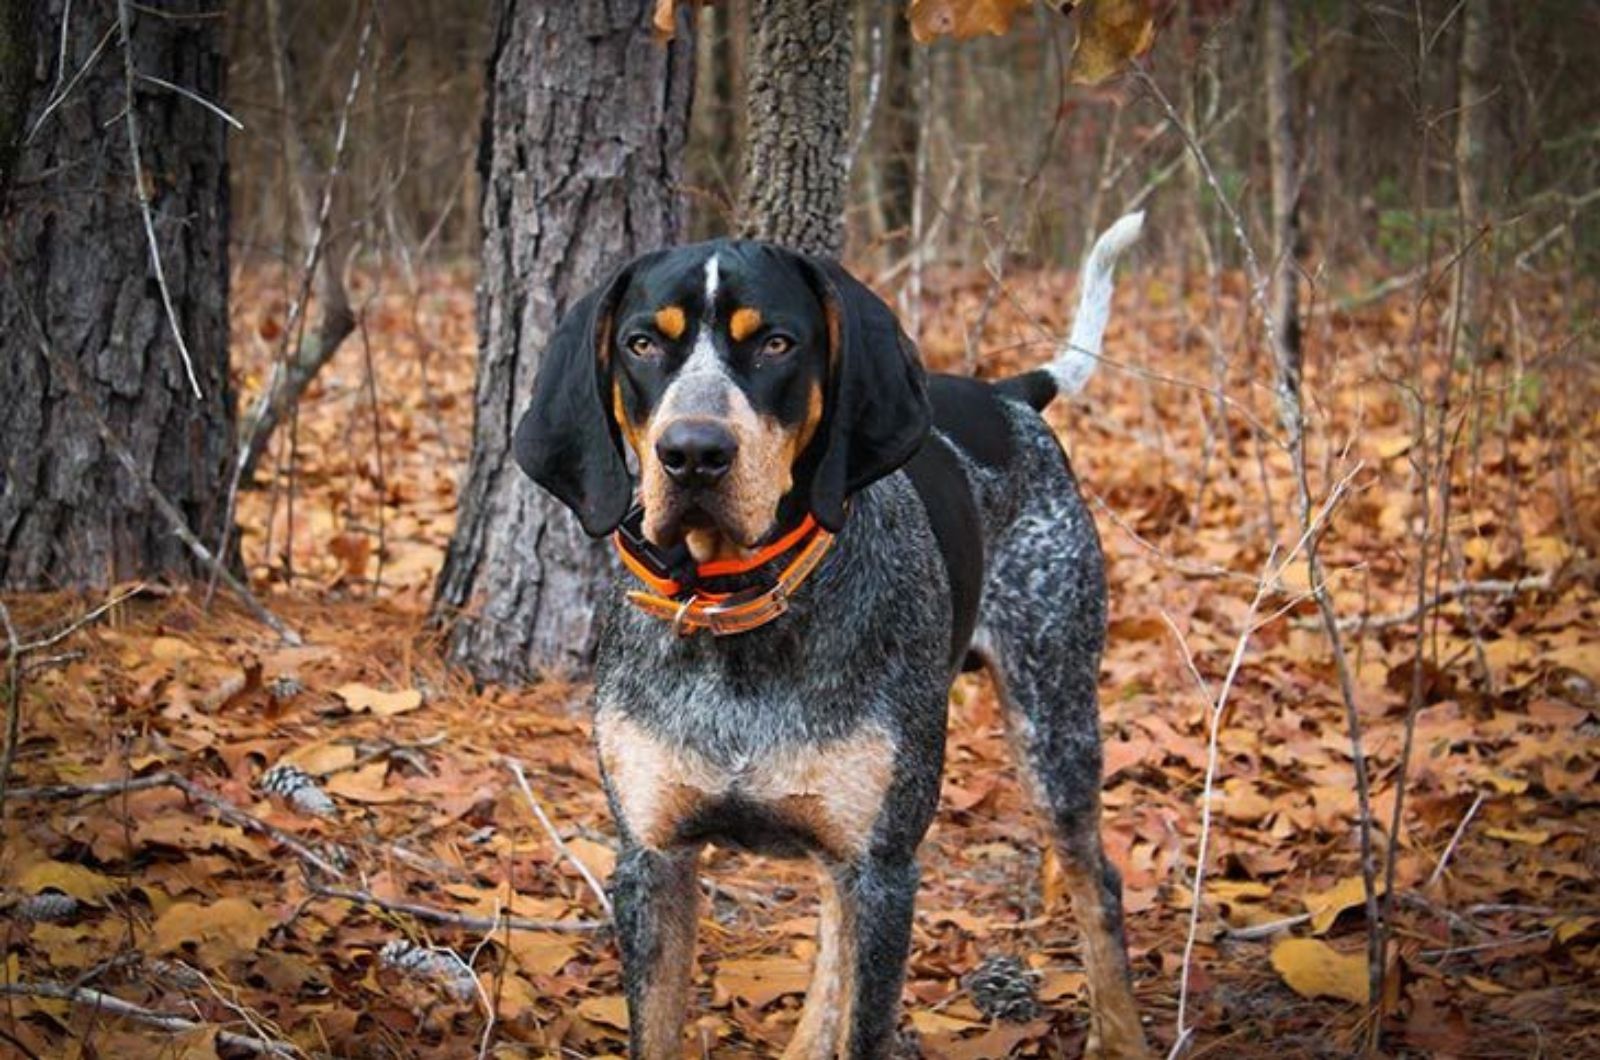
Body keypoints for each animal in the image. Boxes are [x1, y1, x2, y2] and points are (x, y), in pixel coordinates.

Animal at [512, 216, 1152, 1060]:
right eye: (643, 344)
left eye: (777, 344)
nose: (692, 453)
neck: (737, 614)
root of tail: (1006, 395)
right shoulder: (652, 860)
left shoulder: (883, 868)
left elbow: (866, 1020)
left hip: (1055, 718)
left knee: (1095, 881)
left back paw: (1124, 1034)